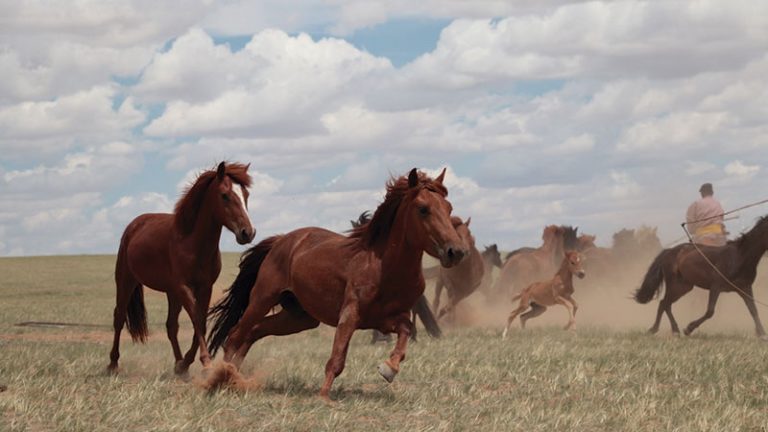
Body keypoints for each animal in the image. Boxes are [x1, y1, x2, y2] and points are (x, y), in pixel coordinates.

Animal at [107, 162, 255, 374]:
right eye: (225, 195)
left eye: (246, 195)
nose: (248, 233)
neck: (192, 243)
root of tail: (134, 225)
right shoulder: (184, 287)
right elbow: (197, 320)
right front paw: (205, 362)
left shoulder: (204, 288)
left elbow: (200, 321)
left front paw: (186, 363)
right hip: (126, 280)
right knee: (119, 317)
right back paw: (113, 364)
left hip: (171, 292)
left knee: (171, 326)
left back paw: (178, 365)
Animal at [636, 216, 768, 338]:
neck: (739, 258)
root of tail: (669, 251)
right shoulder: (716, 287)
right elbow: (710, 311)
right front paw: (689, 329)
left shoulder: (745, 288)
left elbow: (753, 310)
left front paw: (762, 333)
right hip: (674, 285)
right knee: (664, 303)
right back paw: (659, 329)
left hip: (683, 287)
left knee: (665, 304)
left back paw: (672, 330)